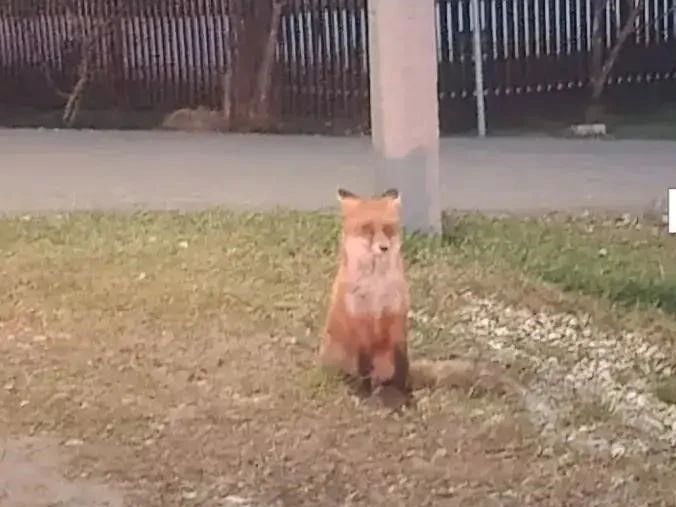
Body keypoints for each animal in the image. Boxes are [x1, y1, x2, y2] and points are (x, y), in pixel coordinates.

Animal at [319, 187, 411, 400]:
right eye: (367, 229)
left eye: (388, 228)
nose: (384, 248)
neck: (375, 285)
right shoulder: (359, 316)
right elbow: (363, 364)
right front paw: (364, 393)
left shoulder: (395, 312)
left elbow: (402, 362)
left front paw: (405, 393)